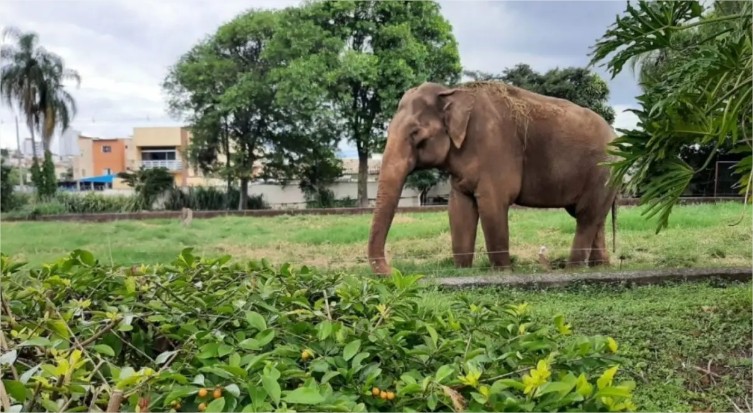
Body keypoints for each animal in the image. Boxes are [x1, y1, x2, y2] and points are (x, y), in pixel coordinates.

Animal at [367, 80, 619, 276]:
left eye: (416, 133)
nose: (394, 271)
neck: (453, 92)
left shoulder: (495, 149)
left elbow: (492, 206)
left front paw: (503, 272)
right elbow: (458, 209)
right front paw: (462, 271)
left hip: (602, 171)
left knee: (586, 216)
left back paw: (573, 269)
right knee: (593, 217)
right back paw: (600, 267)